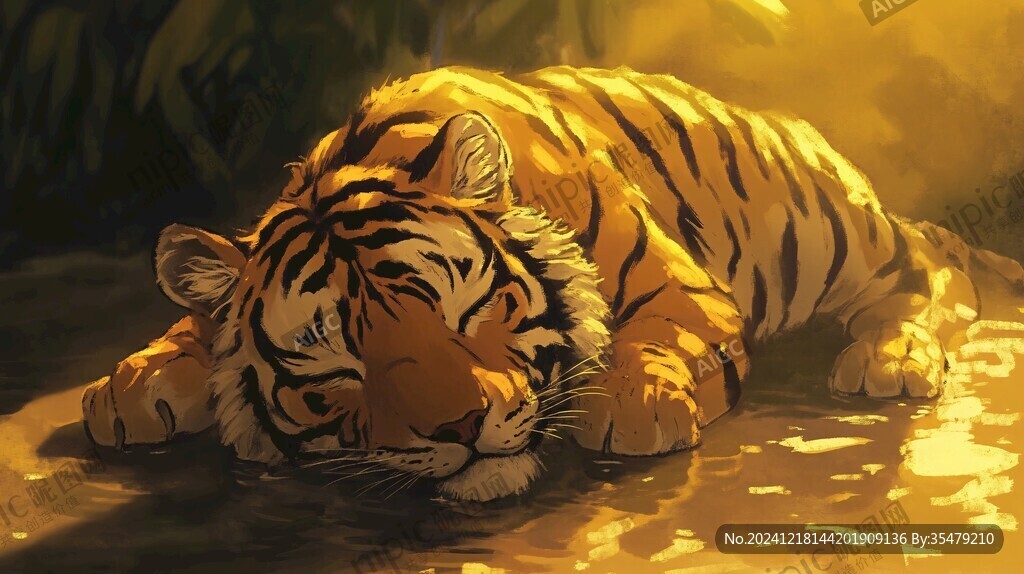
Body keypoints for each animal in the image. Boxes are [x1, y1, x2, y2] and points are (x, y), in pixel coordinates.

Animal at [81, 66, 1024, 502]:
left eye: (466, 310)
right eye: (333, 359)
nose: (459, 428)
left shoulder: (691, 294)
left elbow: (656, 339)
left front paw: (634, 404)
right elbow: (196, 324)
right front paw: (128, 385)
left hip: (824, 230)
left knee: (936, 261)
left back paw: (892, 358)